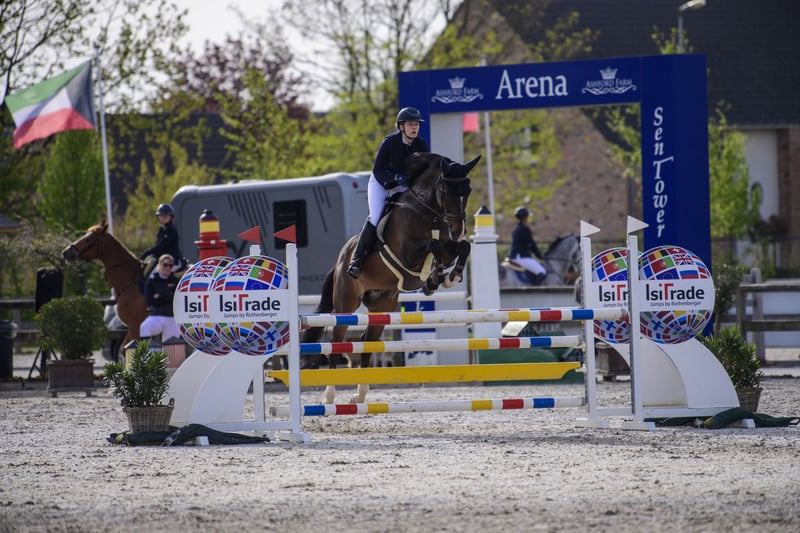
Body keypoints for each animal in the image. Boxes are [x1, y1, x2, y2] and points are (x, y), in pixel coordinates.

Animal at [62, 222, 148, 353]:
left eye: (88, 239)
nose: (66, 252)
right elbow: (124, 348)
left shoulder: (135, 325)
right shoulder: (130, 327)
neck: (130, 283)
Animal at [301, 152, 481, 404]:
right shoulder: (409, 252)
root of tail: (339, 263)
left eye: (469, 189)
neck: (429, 212)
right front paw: (434, 278)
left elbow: (463, 247)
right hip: (346, 303)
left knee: (367, 341)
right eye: (447, 190)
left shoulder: (449, 247)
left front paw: (447, 277)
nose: (459, 230)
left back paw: (360, 395)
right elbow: (433, 246)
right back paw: (329, 396)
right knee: (336, 343)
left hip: (382, 304)